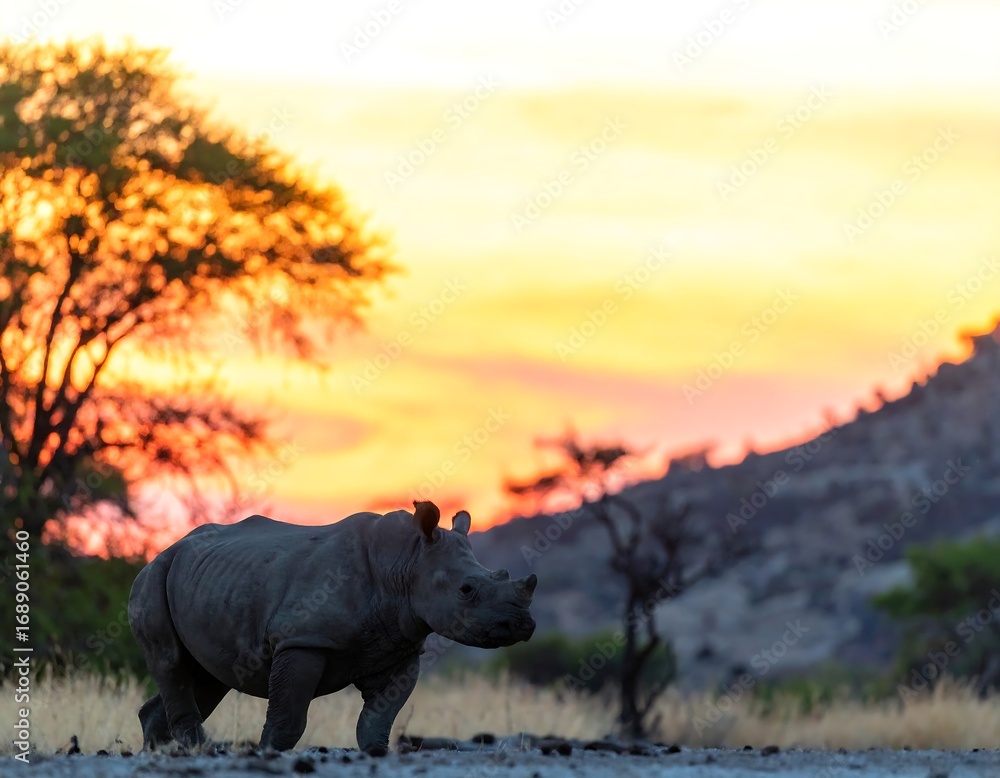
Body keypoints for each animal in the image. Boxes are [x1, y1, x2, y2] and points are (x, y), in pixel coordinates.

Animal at [128, 500, 536, 752]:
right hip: (153, 577)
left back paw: (157, 755)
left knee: (209, 677)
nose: (522, 625)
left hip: (206, 582)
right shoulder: (302, 640)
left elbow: (377, 721)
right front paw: (267, 754)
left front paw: (375, 754)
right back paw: (199, 752)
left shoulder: (400, 647)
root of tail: (167, 548)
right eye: (466, 590)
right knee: (171, 663)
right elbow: (288, 718)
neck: (405, 562)